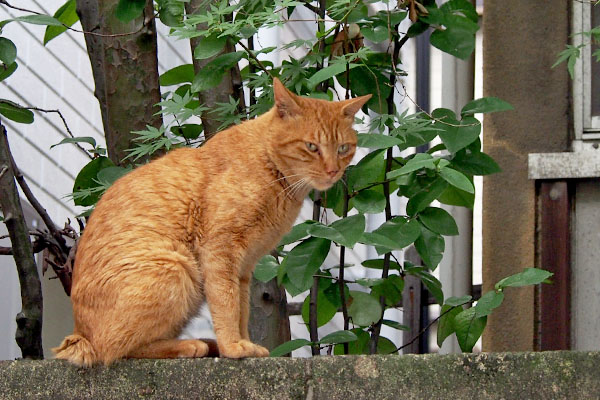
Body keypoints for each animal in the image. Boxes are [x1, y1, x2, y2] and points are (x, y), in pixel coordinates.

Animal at [52, 77, 370, 366]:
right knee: (113, 349)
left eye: (343, 148)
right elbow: (226, 304)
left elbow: (241, 309)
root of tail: (79, 333)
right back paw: (192, 345)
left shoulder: (244, 266)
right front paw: (232, 346)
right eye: (312, 147)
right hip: (176, 268)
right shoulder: (221, 250)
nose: (333, 171)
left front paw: (243, 343)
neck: (272, 172)